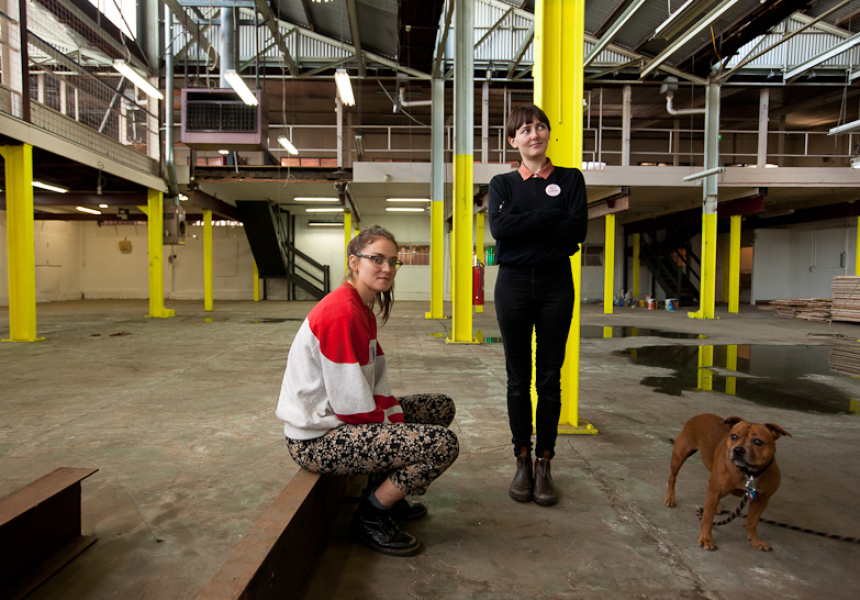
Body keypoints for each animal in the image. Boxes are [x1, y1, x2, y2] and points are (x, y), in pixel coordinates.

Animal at [665, 414, 791, 551]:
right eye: (734, 436)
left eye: (758, 442)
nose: (738, 450)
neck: (748, 473)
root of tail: (700, 415)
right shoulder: (715, 490)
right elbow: (707, 518)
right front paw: (706, 539)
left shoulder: (761, 499)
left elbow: (752, 522)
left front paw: (755, 541)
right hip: (679, 457)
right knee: (672, 477)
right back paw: (670, 498)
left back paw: (717, 506)